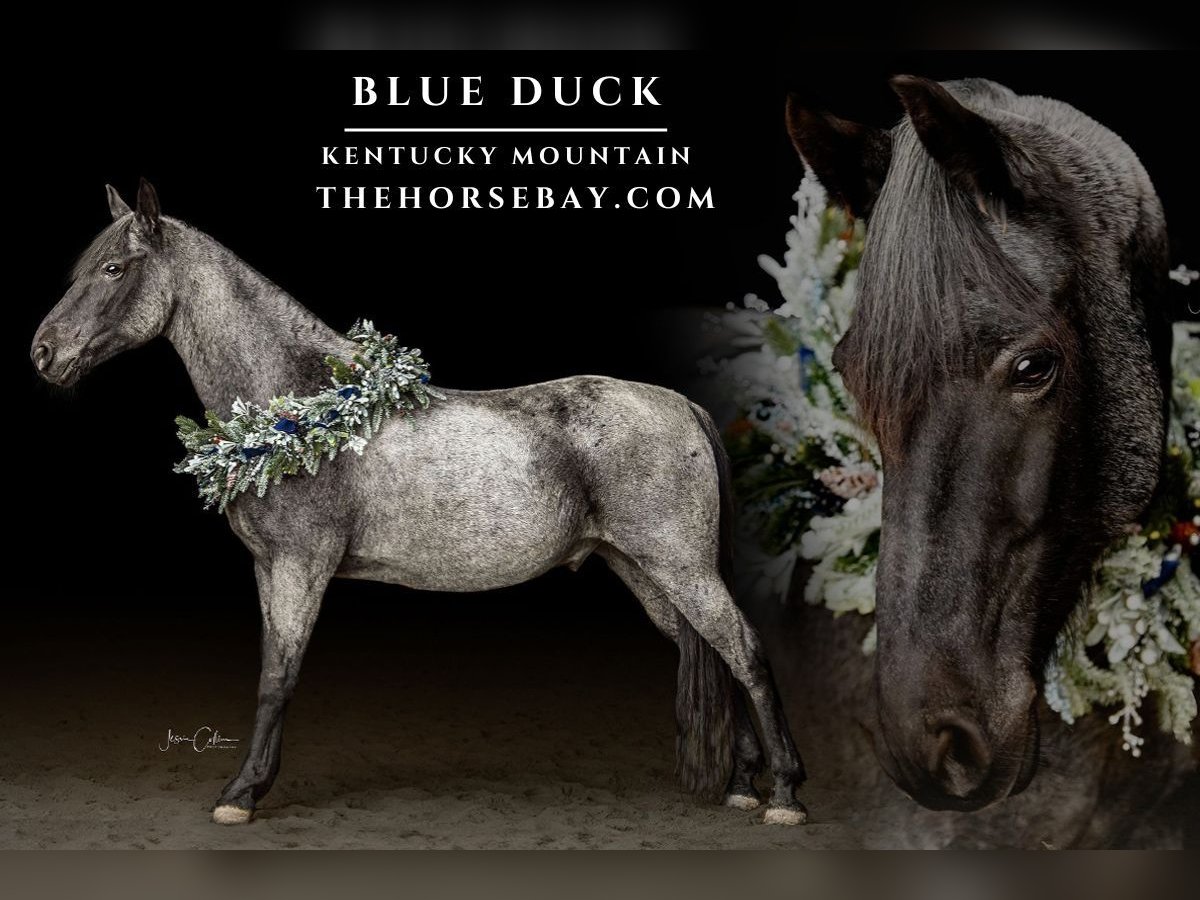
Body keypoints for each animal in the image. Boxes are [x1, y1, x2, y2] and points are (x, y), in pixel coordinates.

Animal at [31, 179, 807, 827]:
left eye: (113, 270)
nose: (43, 353)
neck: (301, 404)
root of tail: (682, 405)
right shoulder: (268, 568)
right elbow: (271, 670)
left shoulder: (300, 567)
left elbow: (278, 678)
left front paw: (242, 794)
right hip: (644, 572)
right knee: (713, 649)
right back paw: (744, 785)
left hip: (679, 566)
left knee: (745, 650)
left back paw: (785, 795)